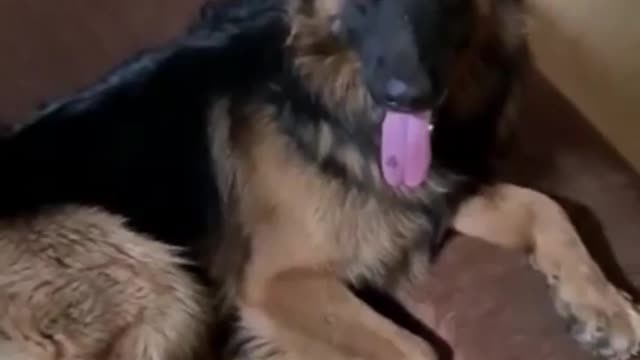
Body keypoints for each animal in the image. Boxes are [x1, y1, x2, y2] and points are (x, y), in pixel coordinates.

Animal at [1, 0, 640, 358]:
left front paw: (603, 305)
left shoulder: (432, 195)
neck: (326, 93)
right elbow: (416, 351)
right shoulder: (279, 283)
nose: (408, 96)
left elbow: (550, 207)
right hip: (157, 277)